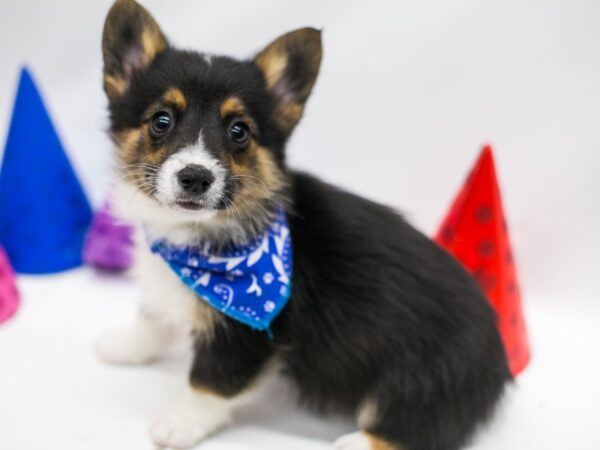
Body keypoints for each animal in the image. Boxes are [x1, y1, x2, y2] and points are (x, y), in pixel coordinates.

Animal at [97, 0, 510, 450]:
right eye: (161, 121)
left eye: (239, 131)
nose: (195, 177)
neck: (194, 235)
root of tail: (500, 361)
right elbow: (153, 316)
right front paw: (126, 344)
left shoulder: (245, 335)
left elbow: (210, 381)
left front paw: (178, 423)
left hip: (422, 378)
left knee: (413, 425)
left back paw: (354, 442)